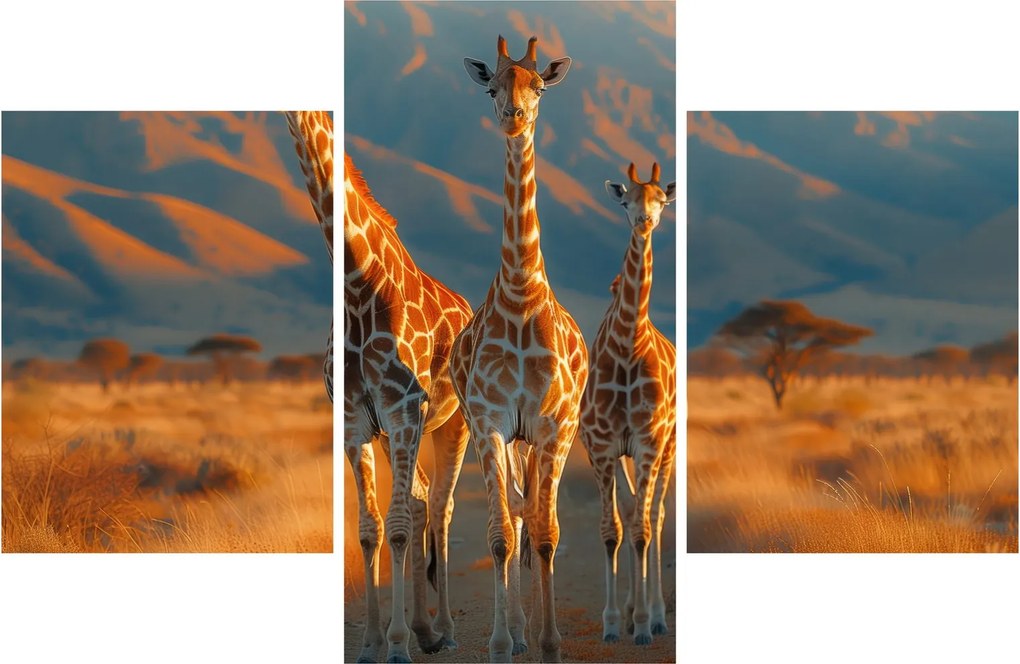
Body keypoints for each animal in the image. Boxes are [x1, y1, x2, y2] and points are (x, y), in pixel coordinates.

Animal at [342, 152, 473, 663]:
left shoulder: (403, 411)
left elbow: (396, 525)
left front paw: (395, 645)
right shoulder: (357, 424)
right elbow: (370, 529)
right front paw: (371, 643)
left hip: (454, 424)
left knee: (440, 505)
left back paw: (445, 630)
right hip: (396, 432)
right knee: (420, 500)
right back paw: (424, 629)